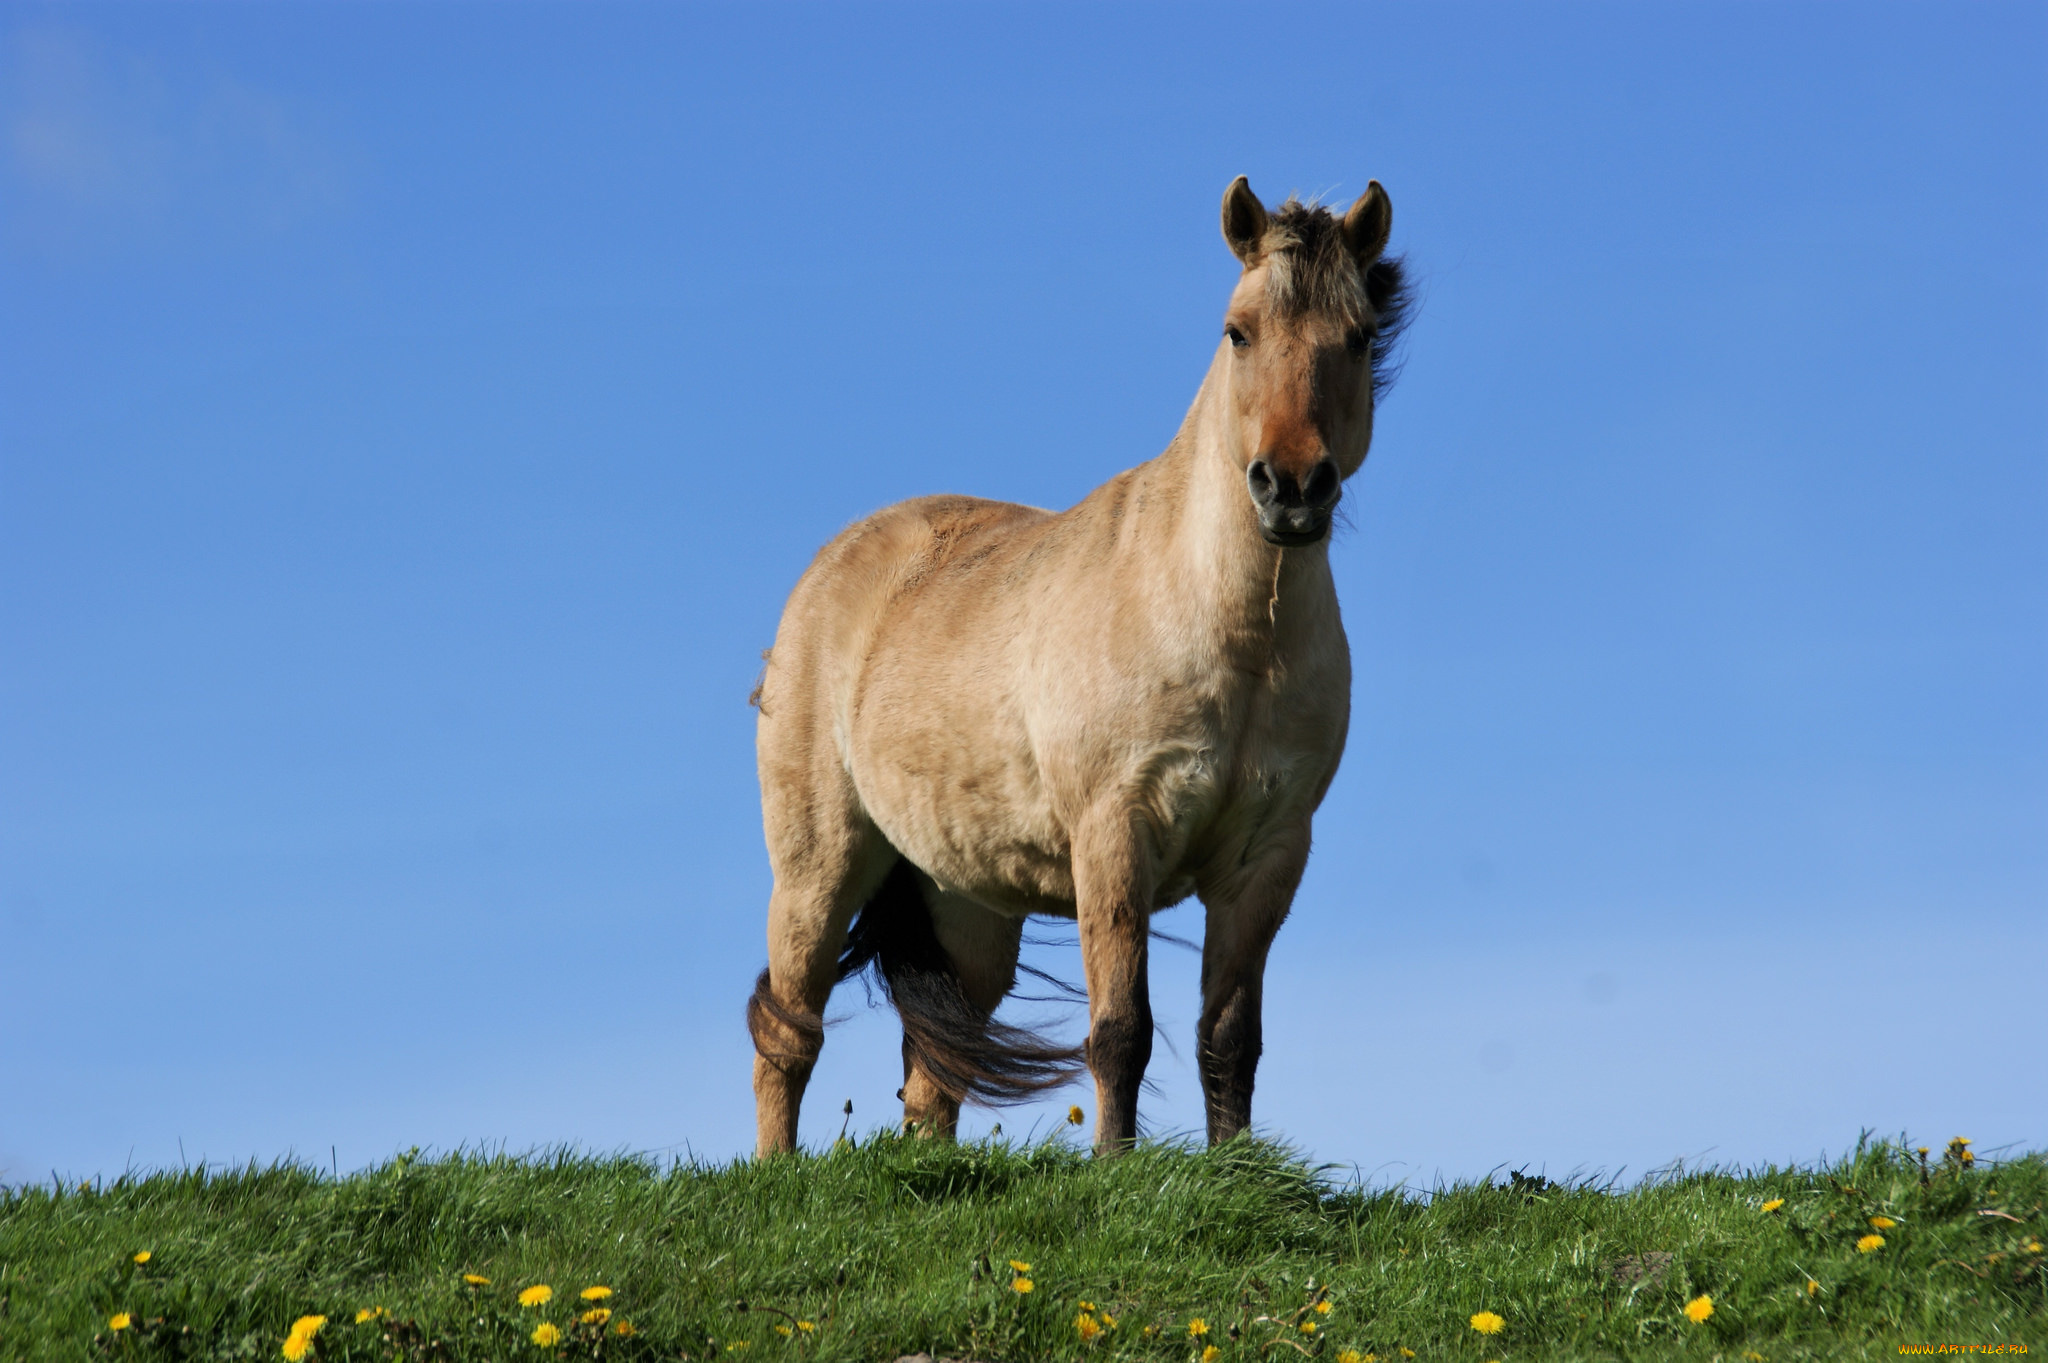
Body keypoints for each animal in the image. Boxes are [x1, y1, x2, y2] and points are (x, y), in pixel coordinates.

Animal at [749, 174, 1409, 1154]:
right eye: (1238, 330)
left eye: (1359, 335)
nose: (1291, 486)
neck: (1233, 640)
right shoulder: (1114, 833)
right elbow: (1120, 1030)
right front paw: (1117, 1165)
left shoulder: (1268, 855)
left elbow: (1229, 1039)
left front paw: (1233, 1167)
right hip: (818, 867)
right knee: (788, 1031)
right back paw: (774, 1169)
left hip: (969, 908)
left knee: (934, 1075)